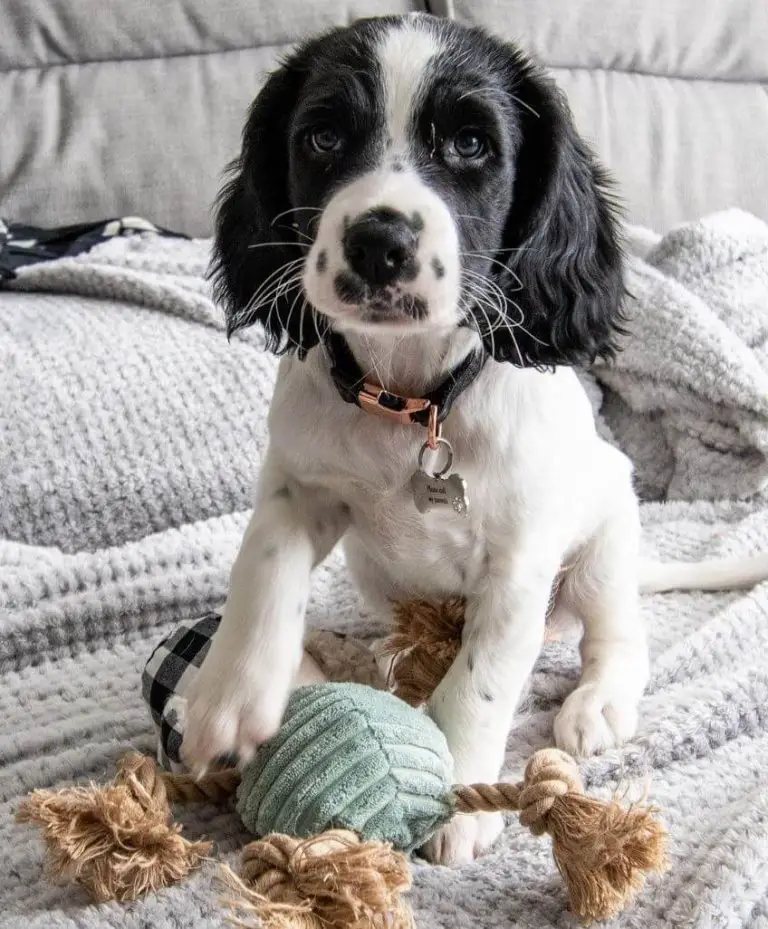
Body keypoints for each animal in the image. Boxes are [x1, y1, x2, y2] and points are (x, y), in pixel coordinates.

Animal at [182, 12, 768, 864]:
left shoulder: (519, 560)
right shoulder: (300, 487)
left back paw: (598, 701)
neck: (413, 399)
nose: (378, 242)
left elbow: (480, 680)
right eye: (322, 137)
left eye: (469, 144)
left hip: (604, 540)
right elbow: (260, 570)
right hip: (375, 573)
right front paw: (229, 695)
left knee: (620, 636)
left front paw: (457, 795)